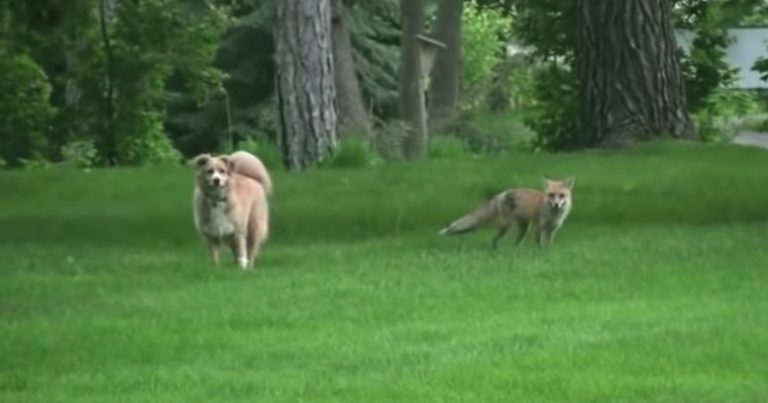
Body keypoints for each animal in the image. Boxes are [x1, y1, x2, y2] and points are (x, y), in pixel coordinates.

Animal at [438, 177, 575, 249]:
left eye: (561, 195)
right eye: (551, 195)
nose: (556, 204)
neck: (553, 216)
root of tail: (502, 194)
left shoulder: (552, 229)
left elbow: (549, 243)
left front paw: (547, 251)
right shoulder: (538, 226)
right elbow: (539, 243)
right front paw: (540, 252)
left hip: (524, 228)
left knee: (516, 242)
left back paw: (516, 250)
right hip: (507, 225)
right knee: (494, 239)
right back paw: (495, 250)